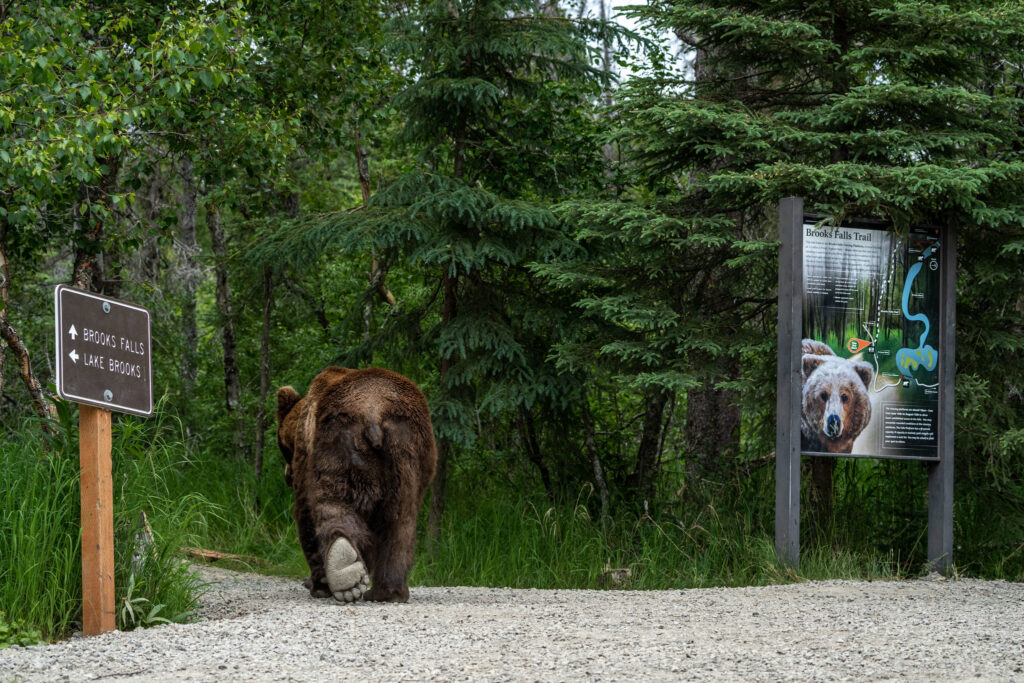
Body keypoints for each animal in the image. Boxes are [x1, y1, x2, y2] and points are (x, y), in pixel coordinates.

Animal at [276, 366, 437, 603]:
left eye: (284, 448)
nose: (287, 475)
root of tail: (375, 412)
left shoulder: (307, 453)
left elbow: (305, 511)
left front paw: (317, 583)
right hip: (407, 451)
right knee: (400, 521)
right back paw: (387, 591)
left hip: (340, 443)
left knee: (333, 501)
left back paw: (342, 568)